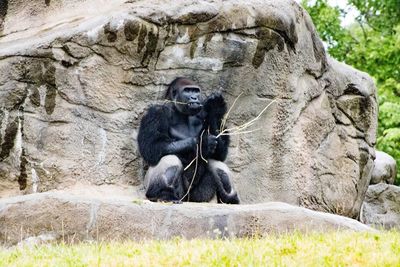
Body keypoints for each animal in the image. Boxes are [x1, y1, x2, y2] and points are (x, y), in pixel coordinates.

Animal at [138, 77, 239, 205]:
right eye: (187, 91)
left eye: (195, 91)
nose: (194, 98)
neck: (182, 113)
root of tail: (187, 199)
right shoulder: (156, 112)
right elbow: (151, 147)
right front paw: (201, 143)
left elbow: (221, 154)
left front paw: (215, 109)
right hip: (177, 193)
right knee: (170, 158)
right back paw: (162, 195)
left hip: (198, 198)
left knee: (217, 163)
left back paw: (230, 200)